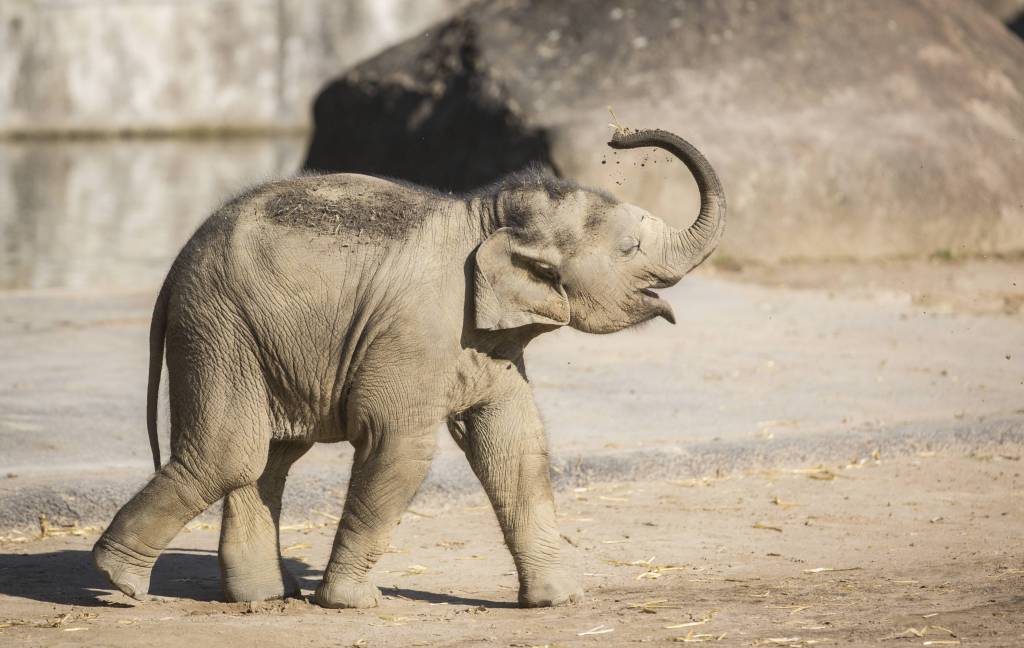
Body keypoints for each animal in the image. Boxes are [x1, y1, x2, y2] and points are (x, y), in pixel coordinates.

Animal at [92, 127, 724, 606]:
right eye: (628, 249)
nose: (618, 136)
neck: (485, 214)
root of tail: (175, 267)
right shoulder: (416, 328)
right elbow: (401, 444)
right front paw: (353, 604)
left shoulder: (486, 340)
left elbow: (513, 442)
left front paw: (561, 599)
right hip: (219, 327)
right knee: (231, 454)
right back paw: (118, 581)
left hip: (260, 341)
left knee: (269, 457)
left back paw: (264, 597)